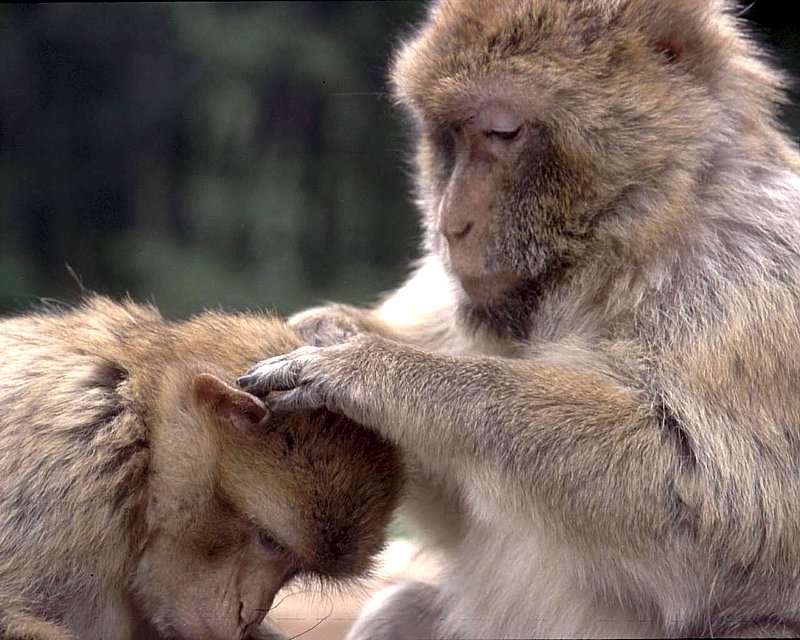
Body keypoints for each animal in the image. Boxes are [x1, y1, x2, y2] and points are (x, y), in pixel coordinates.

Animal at [241, 0, 800, 636]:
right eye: (447, 135)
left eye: (502, 131)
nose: (449, 225)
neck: (627, 244)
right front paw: (330, 328)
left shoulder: (750, 280)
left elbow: (723, 508)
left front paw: (369, 370)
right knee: (401, 606)